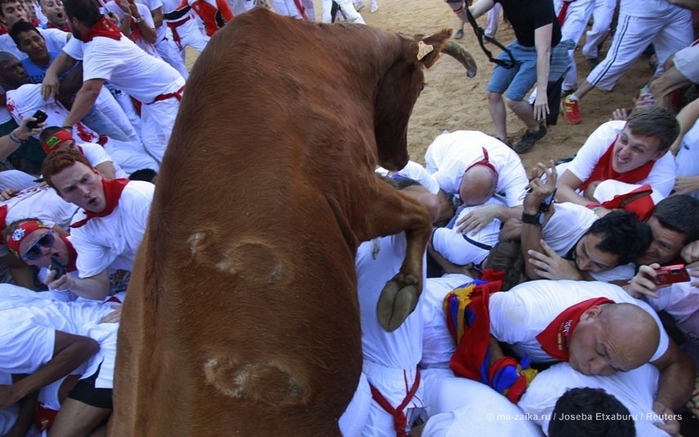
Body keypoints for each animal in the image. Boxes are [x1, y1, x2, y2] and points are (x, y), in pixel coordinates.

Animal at [110, 7, 476, 436]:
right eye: (419, 86)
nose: (399, 158)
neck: (329, 58)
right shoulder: (361, 197)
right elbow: (423, 213)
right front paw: (403, 288)